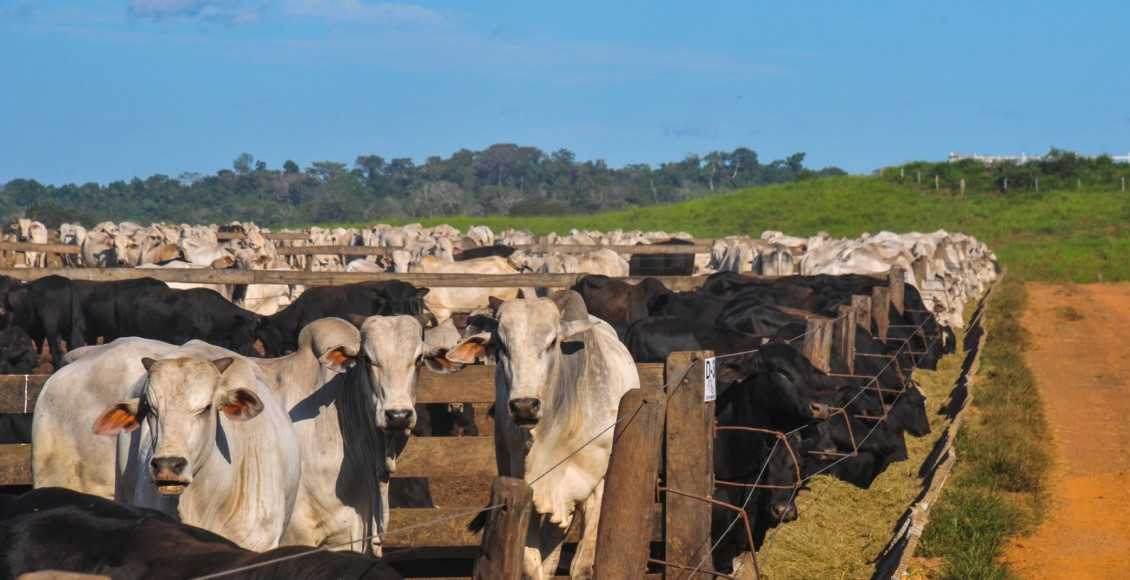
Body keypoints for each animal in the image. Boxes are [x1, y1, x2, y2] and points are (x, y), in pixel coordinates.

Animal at [452, 293, 646, 578]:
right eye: (501, 345)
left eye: (553, 341)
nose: (524, 405)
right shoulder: (528, 485)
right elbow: (531, 563)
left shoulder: (597, 484)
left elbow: (582, 564)